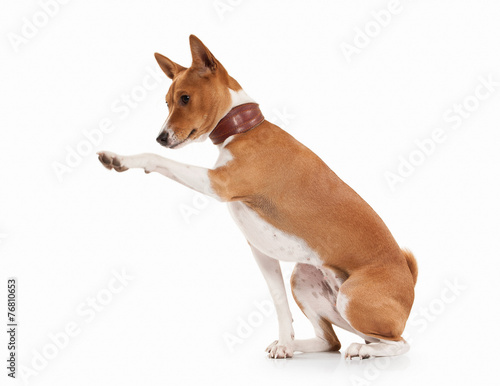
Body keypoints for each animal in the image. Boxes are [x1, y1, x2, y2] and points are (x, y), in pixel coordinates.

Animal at [98, 34, 418, 360]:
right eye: (167, 102)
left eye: (185, 98)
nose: (160, 137)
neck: (241, 130)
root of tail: (410, 278)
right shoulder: (261, 251)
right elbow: (279, 303)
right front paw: (285, 344)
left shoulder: (219, 183)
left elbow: (158, 160)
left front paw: (119, 158)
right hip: (303, 279)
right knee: (331, 341)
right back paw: (301, 346)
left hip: (353, 299)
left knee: (398, 343)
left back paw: (363, 350)